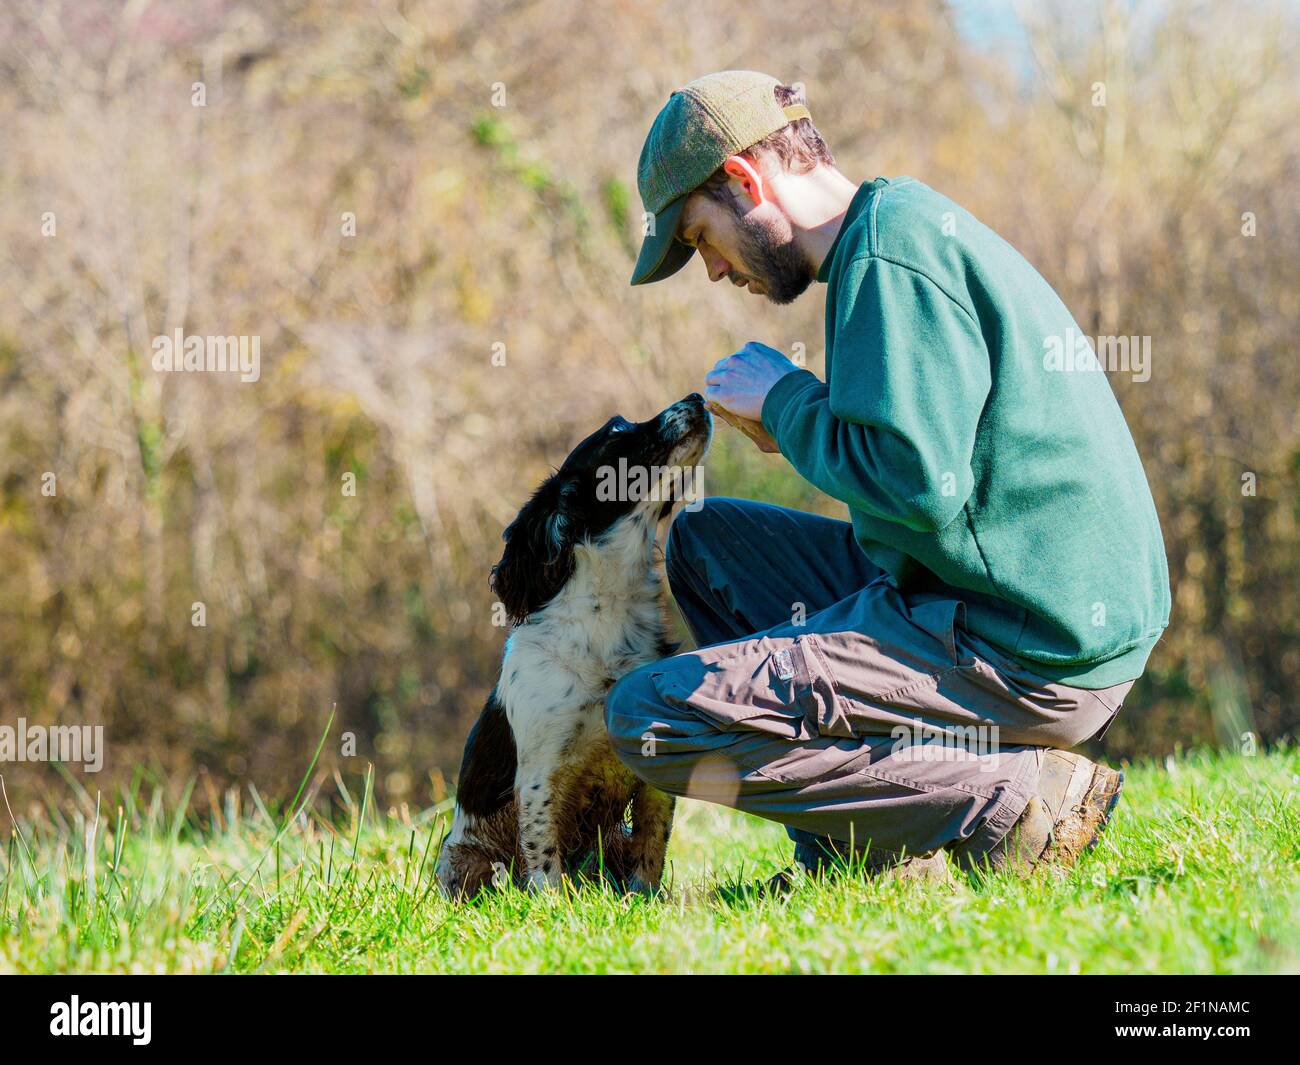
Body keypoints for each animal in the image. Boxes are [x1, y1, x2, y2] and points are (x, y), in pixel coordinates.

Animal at [436, 395, 712, 894]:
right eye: (618, 430)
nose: (696, 398)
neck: (607, 622)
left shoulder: (653, 765)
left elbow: (651, 849)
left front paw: (644, 901)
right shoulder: (539, 777)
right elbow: (544, 860)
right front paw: (552, 903)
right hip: (463, 859)